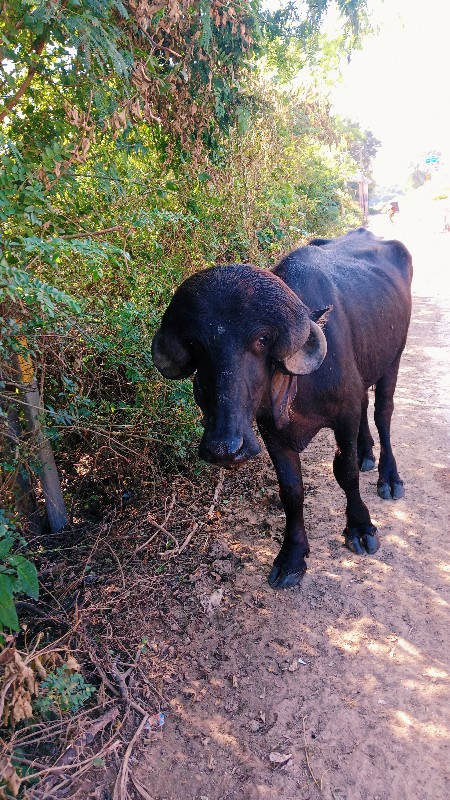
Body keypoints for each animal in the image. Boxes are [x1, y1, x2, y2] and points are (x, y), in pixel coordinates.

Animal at [153, 228, 414, 592]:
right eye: (195, 344)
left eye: (261, 340)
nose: (224, 448)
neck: (299, 386)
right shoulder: (271, 431)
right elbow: (291, 490)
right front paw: (291, 556)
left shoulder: (344, 414)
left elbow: (345, 472)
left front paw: (360, 527)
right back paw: (366, 453)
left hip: (393, 358)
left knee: (382, 412)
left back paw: (388, 477)